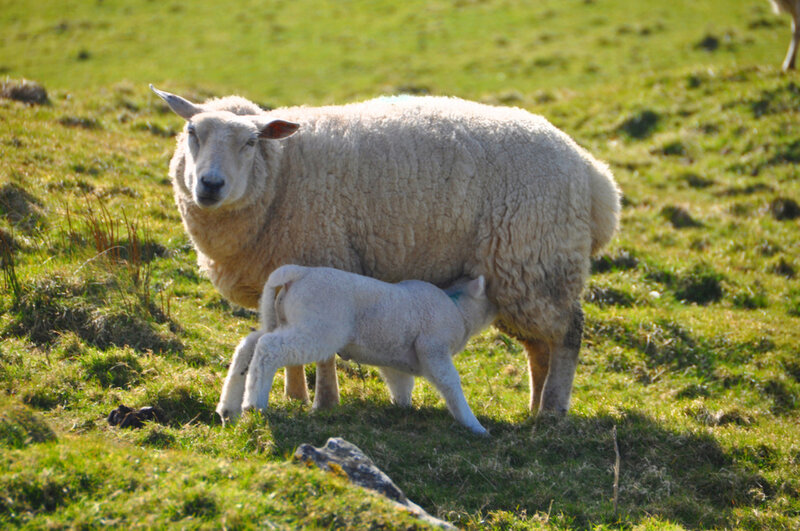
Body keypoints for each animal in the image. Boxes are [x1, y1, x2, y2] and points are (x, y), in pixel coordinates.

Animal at [151, 85, 621, 416]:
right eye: (192, 133)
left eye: (250, 143)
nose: (210, 185)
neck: (282, 172)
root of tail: (597, 178)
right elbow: (287, 345)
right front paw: (295, 395)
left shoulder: (325, 255)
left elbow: (322, 354)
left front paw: (323, 402)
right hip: (521, 276)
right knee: (539, 347)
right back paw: (534, 408)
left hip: (537, 260)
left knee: (567, 334)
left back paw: (554, 410)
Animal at [216, 266, 496, 435]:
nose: (498, 308)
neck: (457, 308)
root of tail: (298, 272)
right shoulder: (433, 347)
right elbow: (450, 383)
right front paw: (474, 425)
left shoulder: (396, 358)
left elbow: (401, 383)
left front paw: (402, 407)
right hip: (318, 328)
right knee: (268, 348)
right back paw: (254, 403)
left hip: (283, 319)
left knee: (249, 344)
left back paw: (229, 407)